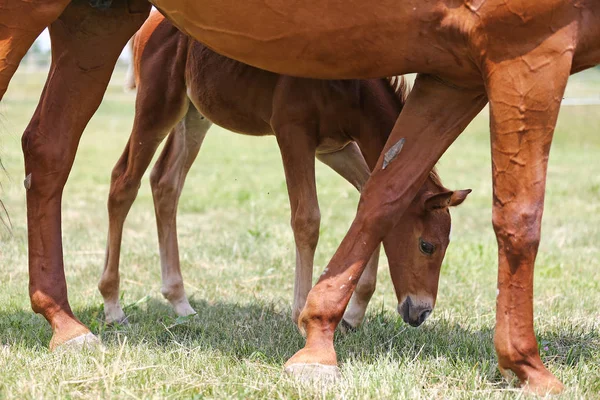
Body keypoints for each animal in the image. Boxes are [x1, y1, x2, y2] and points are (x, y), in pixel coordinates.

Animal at [101, 12, 472, 332]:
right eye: (427, 246)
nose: (421, 312)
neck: (351, 88)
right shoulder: (293, 133)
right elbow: (306, 219)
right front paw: (300, 314)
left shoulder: (335, 148)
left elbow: (370, 201)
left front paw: (353, 313)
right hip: (157, 105)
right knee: (124, 181)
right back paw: (112, 306)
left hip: (194, 115)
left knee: (166, 182)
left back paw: (180, 302)